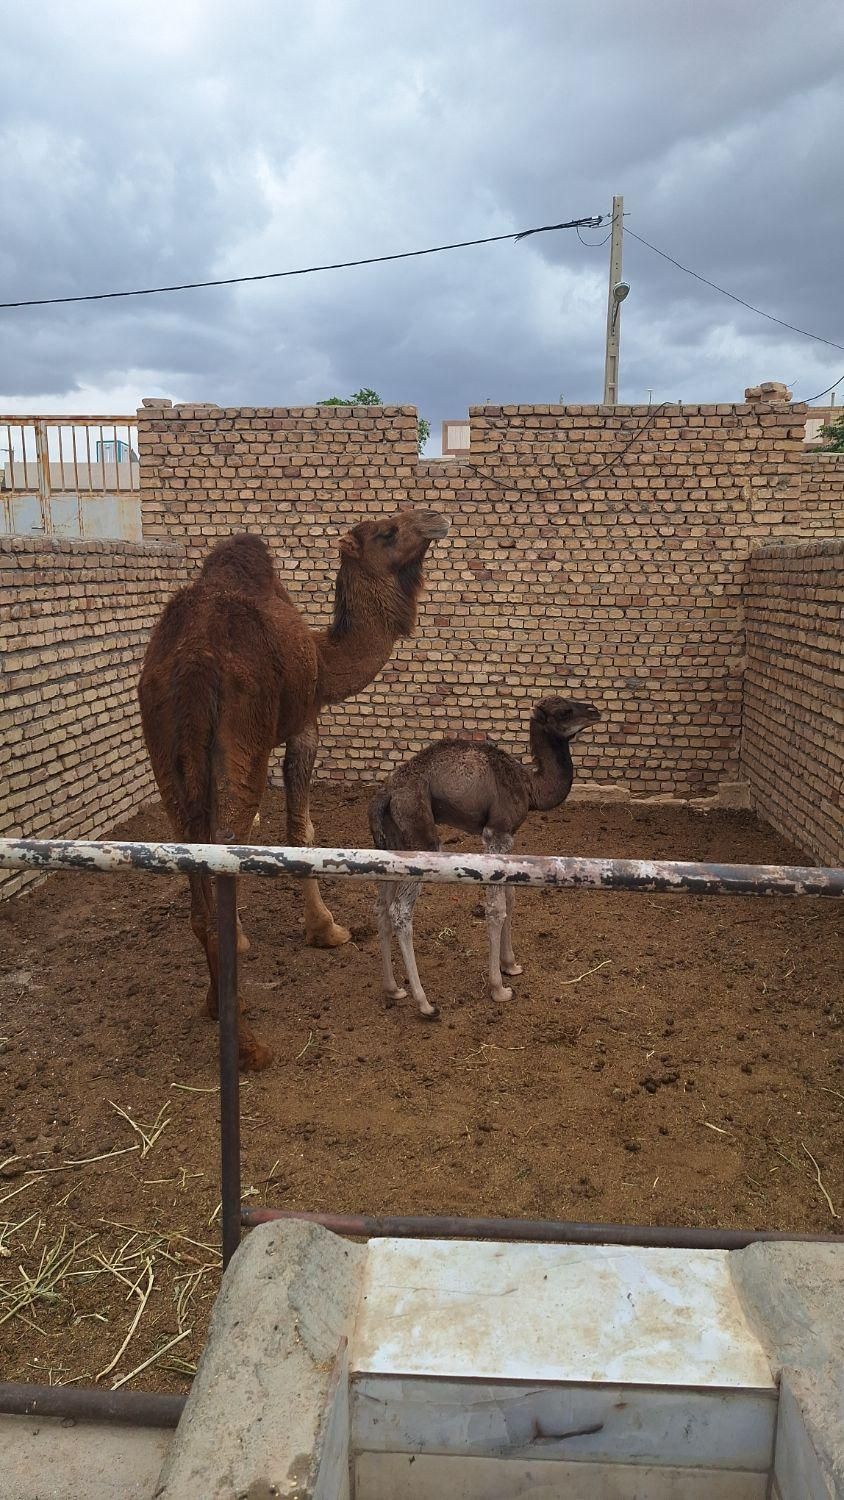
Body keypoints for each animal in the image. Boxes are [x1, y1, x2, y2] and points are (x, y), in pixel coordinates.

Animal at [140, 510, 449, 1074]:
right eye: (387, 532)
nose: (434, 518)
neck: (325, 660)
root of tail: (191, 664)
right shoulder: (306, 722)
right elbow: (300, 830)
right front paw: (326, 930)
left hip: (166, 751)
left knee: (194, 858)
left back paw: (215, 1003)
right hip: (244, 735)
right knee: (225, 850)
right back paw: (248, 1046)